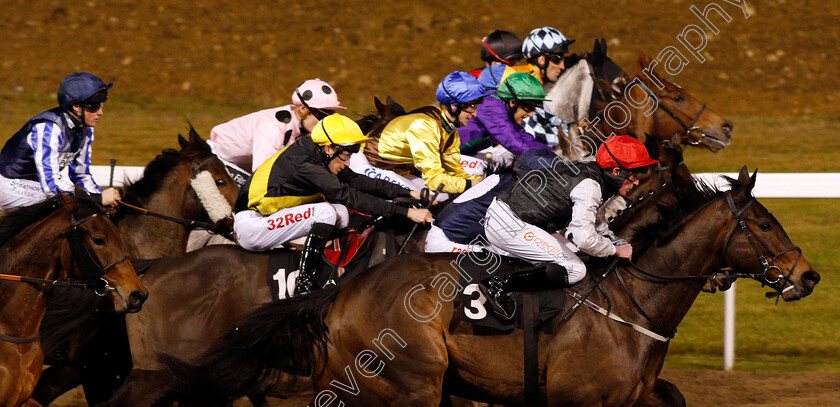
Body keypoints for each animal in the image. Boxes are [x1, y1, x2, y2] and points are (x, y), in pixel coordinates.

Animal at [166, 167, 820, 407]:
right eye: (764, 223)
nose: (808, 275)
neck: (629, 307)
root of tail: (341, 292)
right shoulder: (576, 401)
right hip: (411, 387)